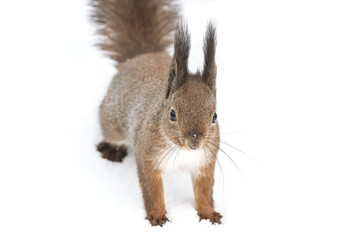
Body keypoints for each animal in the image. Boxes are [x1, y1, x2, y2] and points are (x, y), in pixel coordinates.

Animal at [92, 0, 222, 226]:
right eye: (172, 114)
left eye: (214, 116)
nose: (194, 142)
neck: (183, 151)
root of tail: (138, 57)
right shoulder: (147, 156)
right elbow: (152, 191)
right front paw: (157, 216)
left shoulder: (205, 161)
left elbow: (205, 192)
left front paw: (208, 214)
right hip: (111, 119)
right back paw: (111, 150)